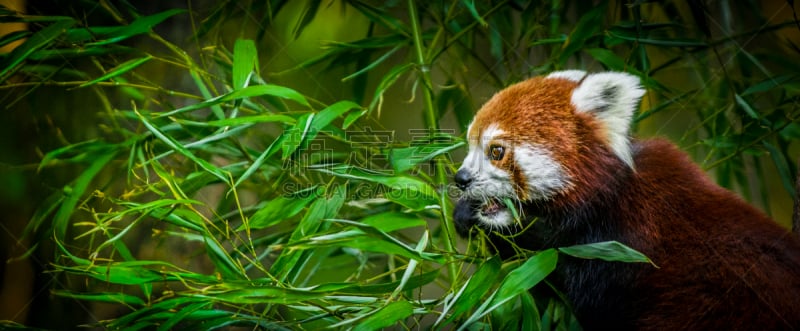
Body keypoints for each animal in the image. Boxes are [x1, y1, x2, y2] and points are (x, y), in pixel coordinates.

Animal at [454, 71, 800, 330]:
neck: (606, 200)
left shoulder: (621, 246)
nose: (461, 179)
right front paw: (467, 214)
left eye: (496, 151)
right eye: (470, 146)